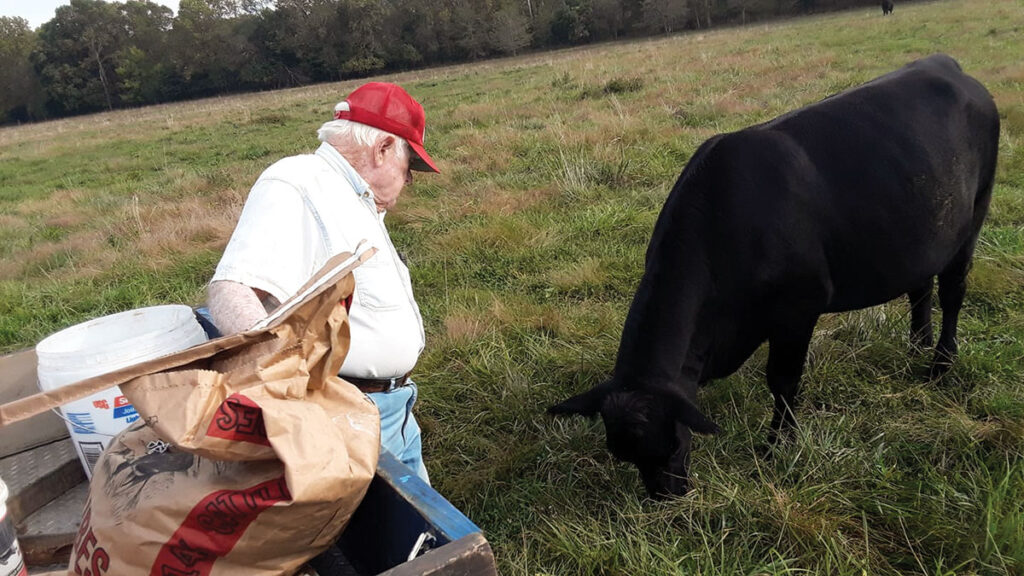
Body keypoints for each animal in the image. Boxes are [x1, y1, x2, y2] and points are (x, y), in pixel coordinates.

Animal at [552, 56, 999, 500]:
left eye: (673, 441)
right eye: (623, 455)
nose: (668, 497)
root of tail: (945, 64)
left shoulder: (797, 309)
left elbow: (783, 380)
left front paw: (778, 445)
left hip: (974, 214)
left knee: (953, 291)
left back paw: (941, 363)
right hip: (922, 235)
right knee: (920, 287)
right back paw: (917, 345)